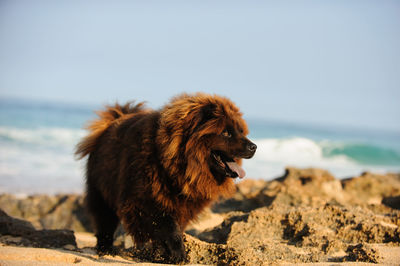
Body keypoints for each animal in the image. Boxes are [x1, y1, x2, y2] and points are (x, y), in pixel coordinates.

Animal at [75, 93, 256, 262]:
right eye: (226, 133)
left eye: (241, 131)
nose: (253, 146)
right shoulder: (146, 200)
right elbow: (169, 228)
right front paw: (178, 254)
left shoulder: (182, 205)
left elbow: (170, 229)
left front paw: (163, 254)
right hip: (101, 194)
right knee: (104, 224)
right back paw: (105, 249)